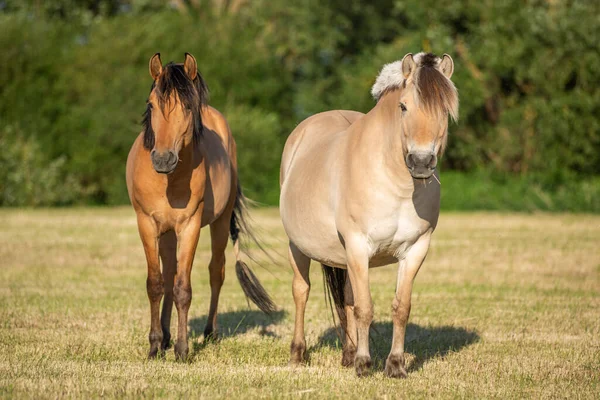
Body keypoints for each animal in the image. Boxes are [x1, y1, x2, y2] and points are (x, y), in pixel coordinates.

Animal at [129, 51, 276, 360]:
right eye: (151, 104)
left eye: (187, 105)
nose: (162, 159)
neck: (169, 180)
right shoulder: (146, 223)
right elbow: (156, 284)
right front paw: (155, 345)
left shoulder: (190, 226)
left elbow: (184, 288)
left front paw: (183, 350)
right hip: (167, 232)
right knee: (169, 274)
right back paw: (166, 336)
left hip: (218, 224)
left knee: (215, 272)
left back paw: (210, 332)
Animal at [278, 51, 458, 376]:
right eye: (403, 106)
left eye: (445, 110)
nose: (421, 162)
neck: (396, 185)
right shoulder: (359, 245)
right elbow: (365, 308)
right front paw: (364, 364)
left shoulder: (415, 249)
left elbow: (400, 307)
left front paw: (395, 365)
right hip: (297, 246)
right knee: (301, 291)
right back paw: (298, 354)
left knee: (347, 298)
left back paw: (348, 354)